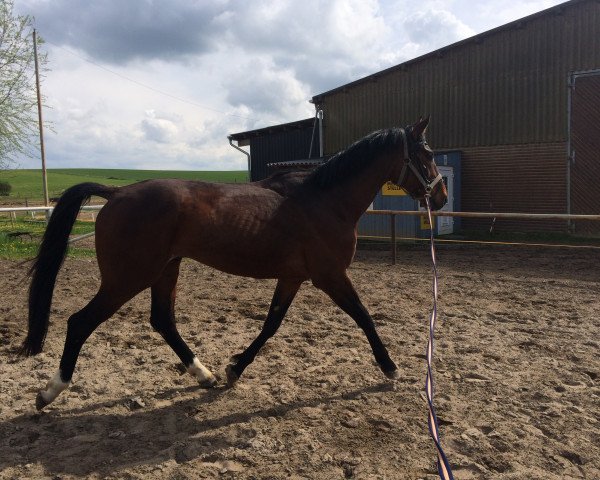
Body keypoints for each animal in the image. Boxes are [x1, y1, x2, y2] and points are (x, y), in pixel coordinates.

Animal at [21, 115, 446, 408]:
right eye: (427, 154)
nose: (440, 197)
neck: (324, 200)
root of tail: (116, 193)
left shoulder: (293, 278)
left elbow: (271, 324)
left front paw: (234, 368)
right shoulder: (330, 275)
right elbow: (363, 316)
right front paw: (389, 367)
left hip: (166, 269)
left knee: (162, 321)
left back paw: (204, 374)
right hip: (128, 277)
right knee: (80, 322)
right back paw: (50, 391)